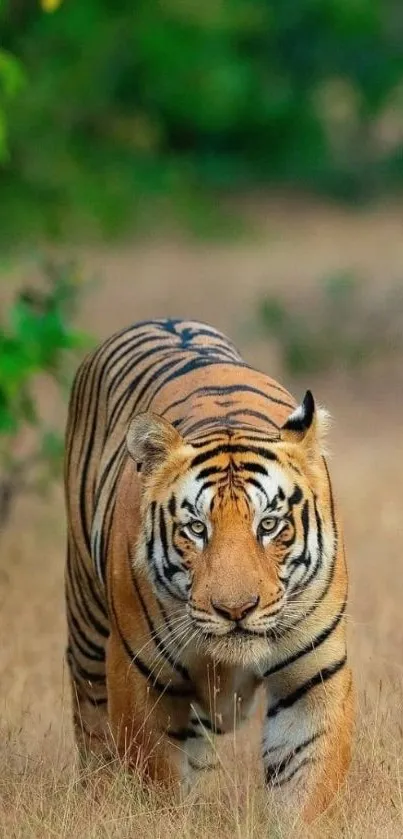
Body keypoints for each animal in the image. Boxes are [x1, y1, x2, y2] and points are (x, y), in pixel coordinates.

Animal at [63, 318, 354, 824]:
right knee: (91, 717)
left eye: (269, 524)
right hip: (87, 627)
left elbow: (303, 790)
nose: (235, 610)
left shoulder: (314, 676)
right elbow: (161, 784)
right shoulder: (142, 679)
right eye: (197, 528)